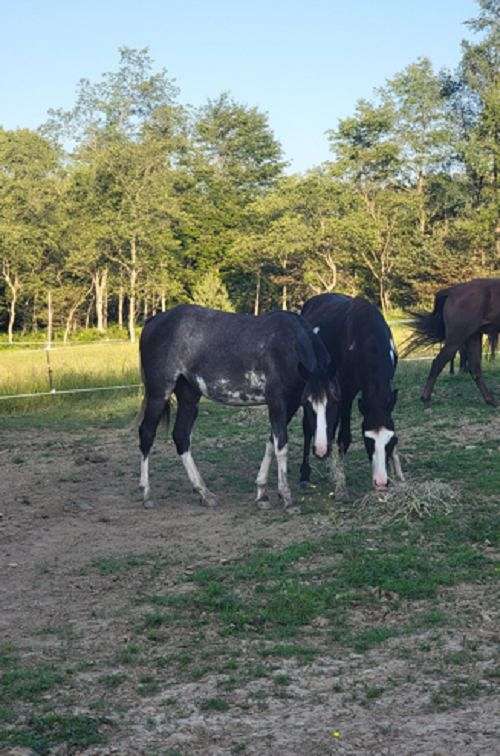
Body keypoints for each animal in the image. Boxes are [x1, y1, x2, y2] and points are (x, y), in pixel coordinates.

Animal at [138, 304, 340, 512]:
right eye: (308, 404)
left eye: (334, 401)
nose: (321, 450)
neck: (288, 346)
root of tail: (152, 322)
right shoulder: (277, 403)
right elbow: (281, 446)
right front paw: (286, 497)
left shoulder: (289, 405)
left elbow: (271, 442)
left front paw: (262, 493)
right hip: (159, 394)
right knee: (147, 433)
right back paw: (146, 493)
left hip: (188, 396)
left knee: (181, 436)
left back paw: (204, 493)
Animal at [300, 293, 403, 496]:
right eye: (368, 441)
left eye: (390, 441)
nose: (381, 483)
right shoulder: (345, 393)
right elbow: (344, 438)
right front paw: (340, 480)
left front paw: (397, 474)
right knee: (309, 427)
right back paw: (306, 473)